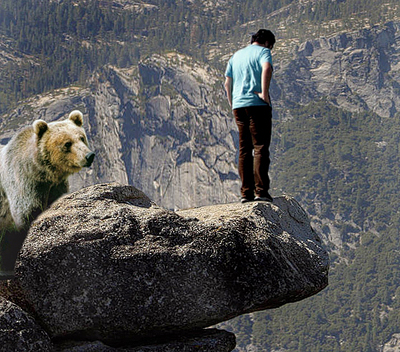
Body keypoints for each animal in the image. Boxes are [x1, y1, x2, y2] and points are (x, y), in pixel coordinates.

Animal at [0, 110, 95, 278]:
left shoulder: (55, 186)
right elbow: (25, 216)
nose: (89, 156)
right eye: (67, 143)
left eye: (82, 137)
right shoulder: (23, 185)